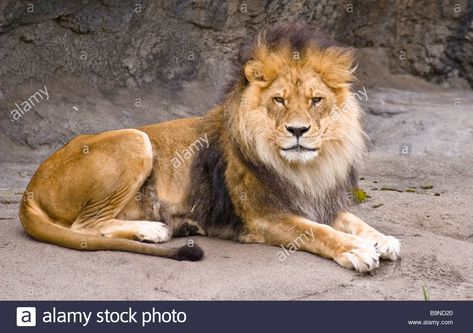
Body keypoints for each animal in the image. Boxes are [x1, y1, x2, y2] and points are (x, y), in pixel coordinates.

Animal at [21, 23, 398, 272]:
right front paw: (357, 250)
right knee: (83, 227)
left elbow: (352, 219)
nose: (297, 130)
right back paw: (153, 229)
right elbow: (317, 231)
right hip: (136, 140)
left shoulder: (318, 199)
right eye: (279, 100)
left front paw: (381, 238)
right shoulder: (264, 217)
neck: (305, 168)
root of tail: (31, 186)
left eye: (315, 100)